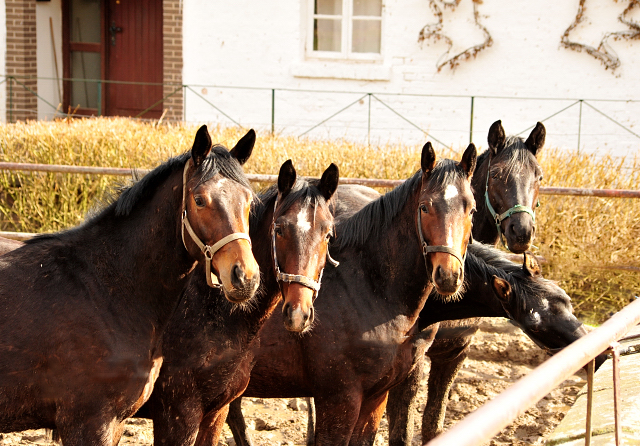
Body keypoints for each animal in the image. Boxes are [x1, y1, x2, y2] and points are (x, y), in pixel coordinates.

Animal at [0, 123, 258, 444]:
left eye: (248, 201)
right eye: (199, 200)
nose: (245, 277)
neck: (106, 288)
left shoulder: (116, 422)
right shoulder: (86, 421)